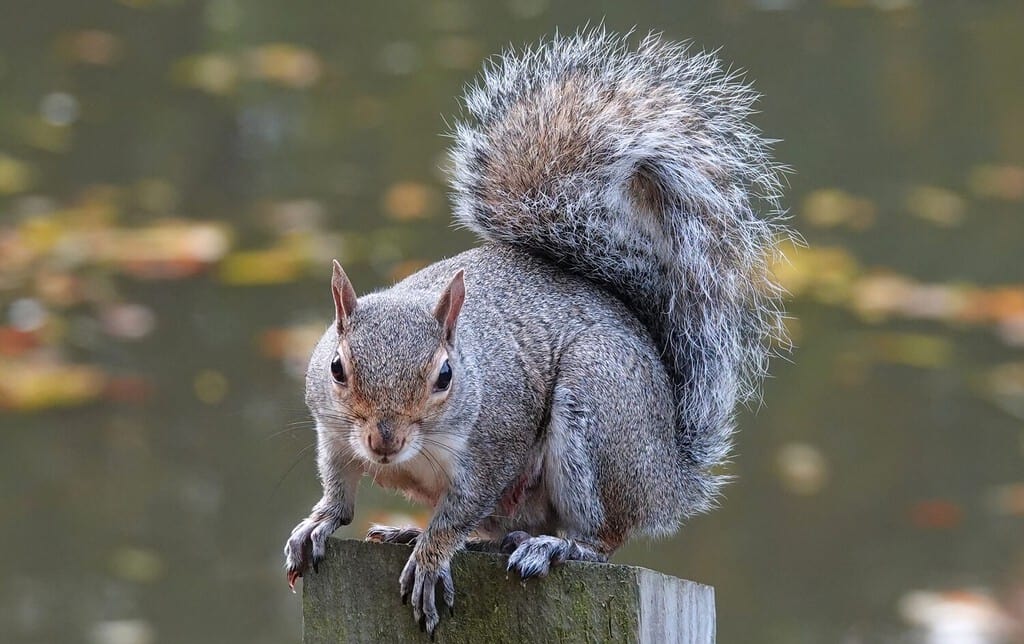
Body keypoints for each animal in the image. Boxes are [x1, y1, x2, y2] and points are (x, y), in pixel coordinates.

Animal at [284, 29, 788, 636]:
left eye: (444, 376)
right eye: (337, 367)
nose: (384, 441)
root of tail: (669, 475)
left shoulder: (496, 443)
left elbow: (458, 512)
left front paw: (430, 558)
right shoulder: (332, 431)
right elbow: (338, 487)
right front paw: (319, 523)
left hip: (596, 410)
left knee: (601, 537)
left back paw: (554, 546)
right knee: (497, 530)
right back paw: (419, 532)